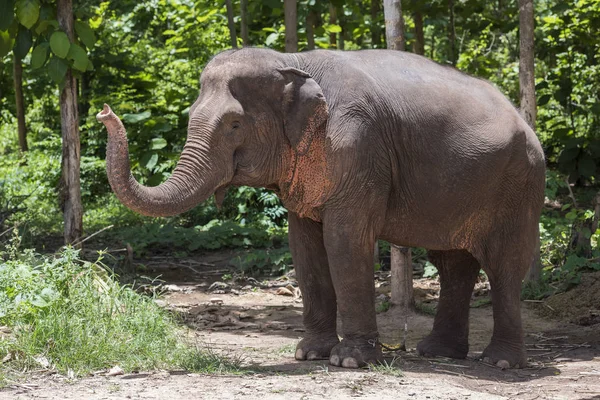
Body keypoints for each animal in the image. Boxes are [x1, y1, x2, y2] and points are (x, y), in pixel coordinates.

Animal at [97, 47, 544, 368]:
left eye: (234, 125)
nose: (104, 110)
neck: (292, 61)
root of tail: (524, 120)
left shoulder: (358, 146)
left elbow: (344, 240)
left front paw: (350, 361)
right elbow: (304, 245)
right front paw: (308, 354)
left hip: (520, 185)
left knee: (504, 267)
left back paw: (501, 363)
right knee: (453, 264)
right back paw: (436, 353)